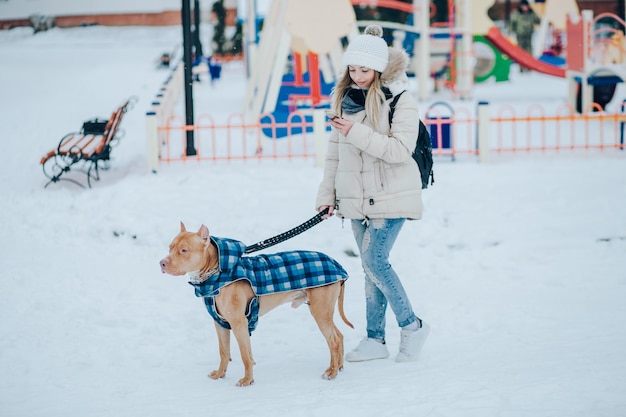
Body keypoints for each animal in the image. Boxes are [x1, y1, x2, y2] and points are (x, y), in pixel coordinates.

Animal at [158, 223, 352, 386]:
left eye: (184, 250)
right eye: (170, 247)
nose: (162, 263)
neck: (216, 272)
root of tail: (337, 265)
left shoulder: (239, 323)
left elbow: (245, 355)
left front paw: (247, 380)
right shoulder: (220, 323)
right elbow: (224, 351)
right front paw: (220, 374)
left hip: (320, 312)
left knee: (334, 340)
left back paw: (332, 372)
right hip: (324, 312)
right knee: (339, 335)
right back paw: (338, 367)